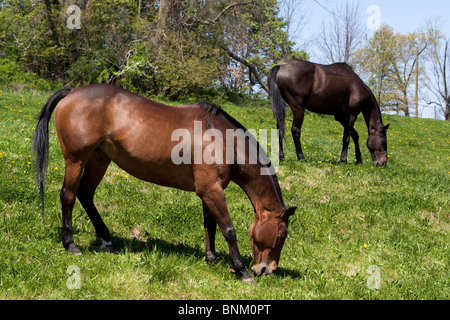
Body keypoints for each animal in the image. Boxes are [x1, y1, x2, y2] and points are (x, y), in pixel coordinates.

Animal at [33, 84, 298, 282]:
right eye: (281, 235)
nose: (267, 270)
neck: (223, 140)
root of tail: (71, 92)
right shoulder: (212, 191)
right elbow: (228, 229)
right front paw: (241, 271)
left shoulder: (208, 190)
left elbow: (210, 225)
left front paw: (211, 258)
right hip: (76, 160)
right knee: (68, 195)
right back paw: (70, 244)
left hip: (100, 159)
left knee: (86, 194)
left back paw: (106, 239)